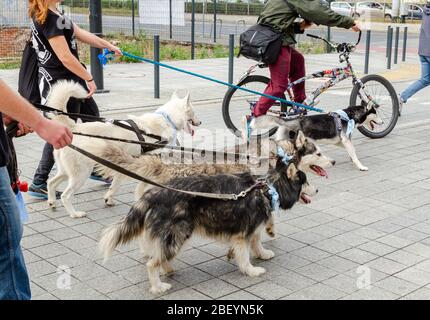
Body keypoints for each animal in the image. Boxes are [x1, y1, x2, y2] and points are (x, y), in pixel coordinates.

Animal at [46, 81, 201, 219]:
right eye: (194, 112)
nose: (200, 122)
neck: (167, 119)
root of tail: (74, 127)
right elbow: (142, 185)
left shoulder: (124, 164)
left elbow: (114, 186)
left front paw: (109, 199)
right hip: (81, 173)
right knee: (66, 195)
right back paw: (74, 214)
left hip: (67, 171)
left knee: (51, 182)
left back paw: (52, 202)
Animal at [100, 159, 316, 294]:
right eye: (306, 181)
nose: (318, 189)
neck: (268, 188)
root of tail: (155, 193)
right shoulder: (242, 233)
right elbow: (245, 254)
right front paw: (251, 270)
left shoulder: (251, 227)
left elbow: (256, 242)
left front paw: (262, 254)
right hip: (177, 235)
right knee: (152, 263)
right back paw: (158, 287)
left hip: (171, 237)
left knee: (159, 255)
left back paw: (167, 269)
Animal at [252, 105, 382, 171]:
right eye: (376, 113)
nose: (383, 122)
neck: (348, 116)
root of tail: (287, 120)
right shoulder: (346, 140)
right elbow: (354, 154)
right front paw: (360, 166)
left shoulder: (340, 141)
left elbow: (352, 151)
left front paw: (352, 159)